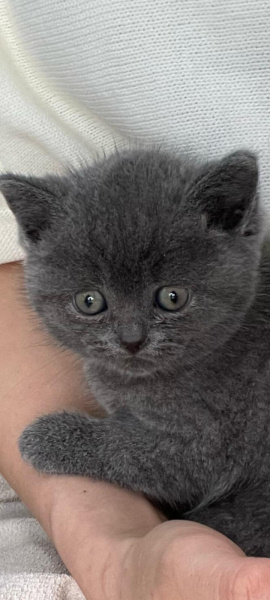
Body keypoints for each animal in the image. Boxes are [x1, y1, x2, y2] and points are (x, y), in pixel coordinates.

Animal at [1, 146, 268, 556]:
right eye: (89, 301)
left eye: (173, 297)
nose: (131, 339)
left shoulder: (212, 443)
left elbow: (126, 447)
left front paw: (45, 437)